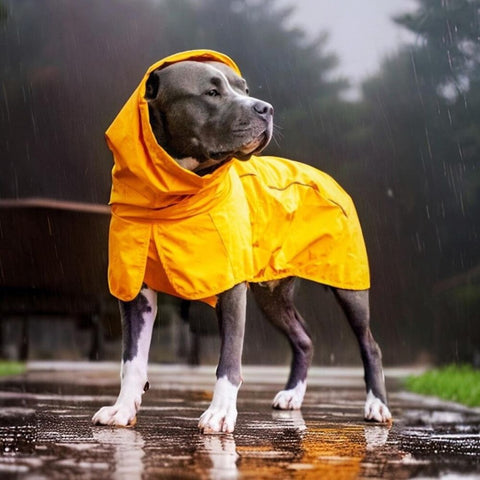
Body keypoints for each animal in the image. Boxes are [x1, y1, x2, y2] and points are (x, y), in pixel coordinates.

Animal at [92, 50, 392, 434]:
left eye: (244, 89)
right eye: (211, 92)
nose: (266, 108)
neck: (175, 198)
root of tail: (325, 176)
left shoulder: (231, 288)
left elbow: (229, 359)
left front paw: (220, 413)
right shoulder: (134, 290)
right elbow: (131, 360)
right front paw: (122, 408)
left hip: (349, 285)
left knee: (370, 344)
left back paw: (376, 405)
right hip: (272, 296)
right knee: (304, 338)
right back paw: (292, 395)